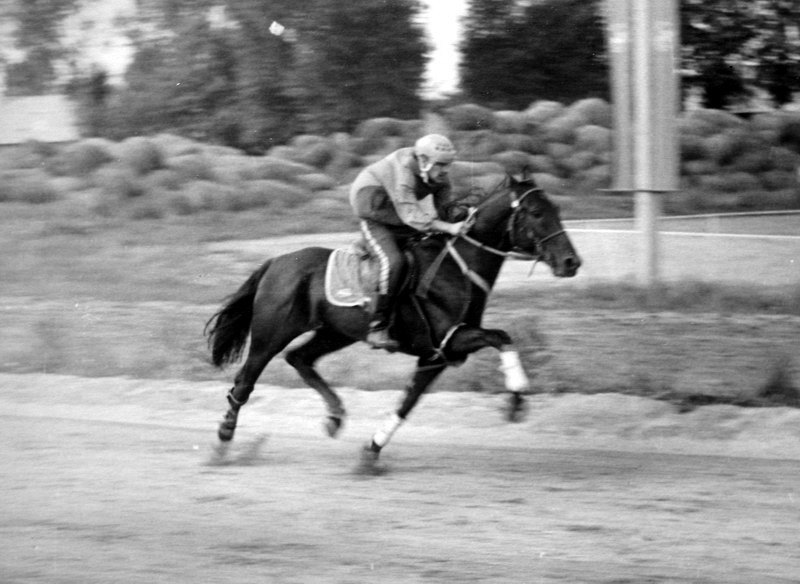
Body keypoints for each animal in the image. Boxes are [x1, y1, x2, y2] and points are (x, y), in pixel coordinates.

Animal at [205, 170, 580, 466]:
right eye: (536, 212)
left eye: (557, 210)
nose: (571, 262)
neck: (456, 268)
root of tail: (276, 262)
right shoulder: (450, 339)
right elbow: (501, 336)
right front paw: (516, 398)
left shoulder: (437, 356)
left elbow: (407, 404)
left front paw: (372, 451)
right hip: (269, 334)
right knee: (245, 382)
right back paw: (223, 440)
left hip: (334, 333)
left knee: (300, 358)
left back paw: (335, 415)